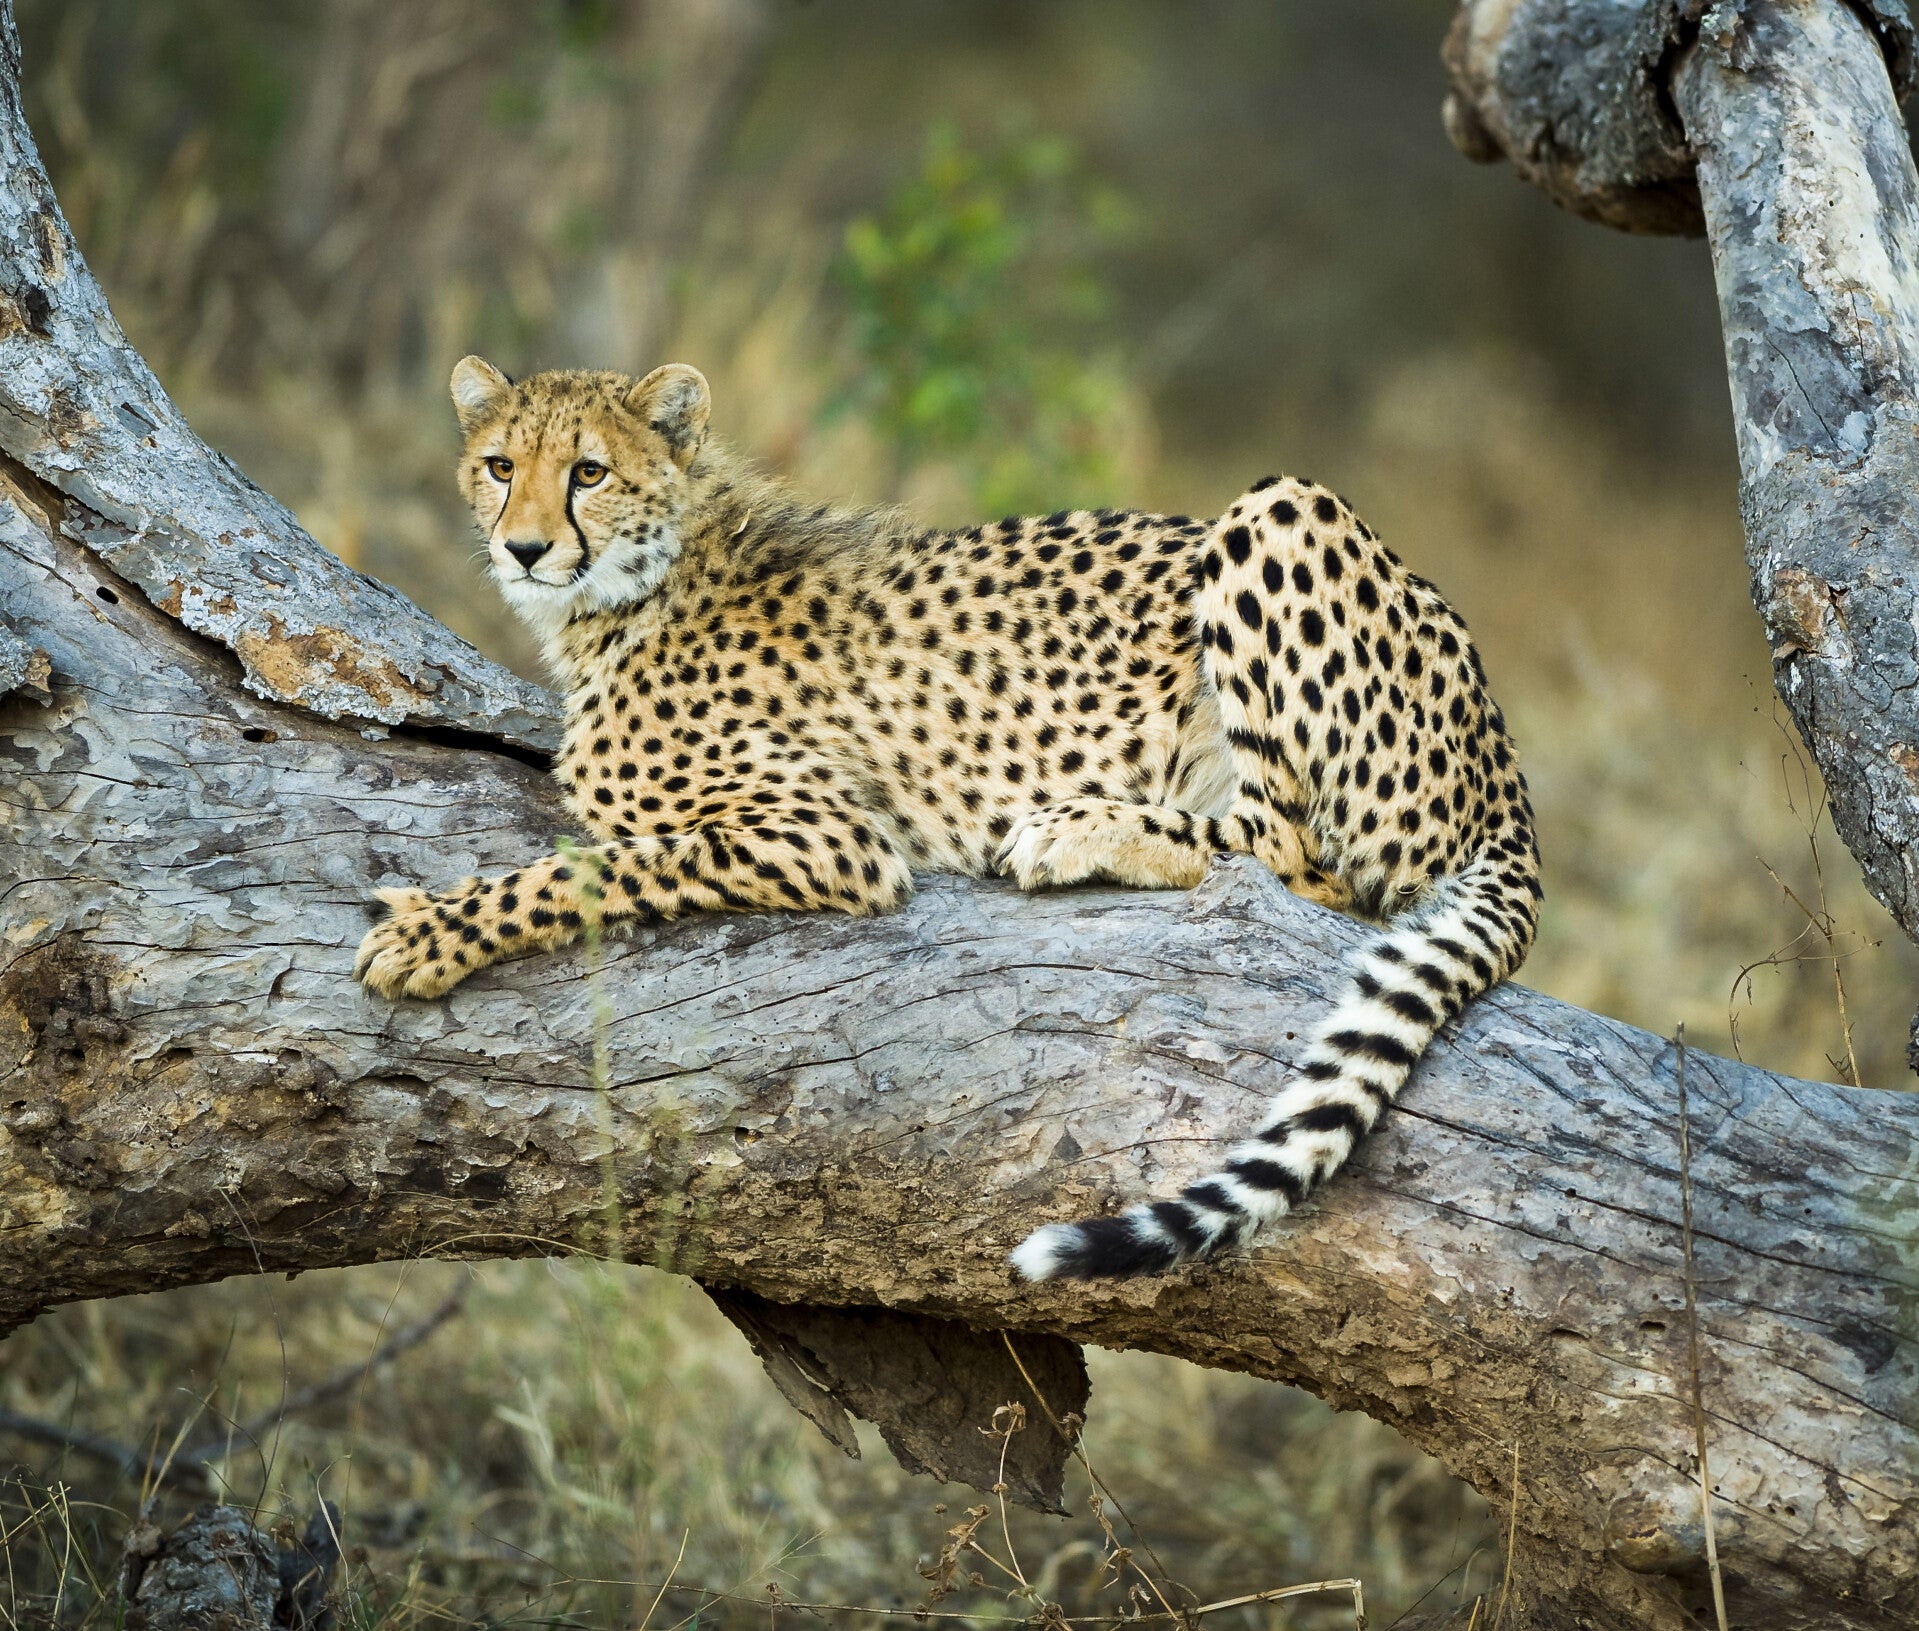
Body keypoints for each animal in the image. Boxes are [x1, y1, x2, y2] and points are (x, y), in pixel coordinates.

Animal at [355, 355, 1542, 1280]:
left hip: (1280, 509)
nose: (522, 547)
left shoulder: (833, 837)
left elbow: (587, 867)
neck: (640, 587)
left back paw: (1079, 827)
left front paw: (426, 933)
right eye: (500, 466)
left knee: (1300, 863)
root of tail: (1504, 764)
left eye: (588, 472)